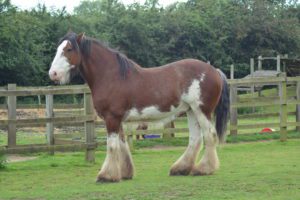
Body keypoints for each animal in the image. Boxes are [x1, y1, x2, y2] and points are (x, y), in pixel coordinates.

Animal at [48, 31, 230, 183]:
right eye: (57, 49)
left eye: (69, 49)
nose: (53, 74)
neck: (112, 76)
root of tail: (214, 70)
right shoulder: (117, 119)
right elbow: (122, 145)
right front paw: (124, 173)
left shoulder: (111, 118)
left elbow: (112, 145)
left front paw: (106, 176)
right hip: (191, 110)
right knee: (195, 138)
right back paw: (181, 169)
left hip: (202, 110)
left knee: (210, 135)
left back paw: (203, 169)